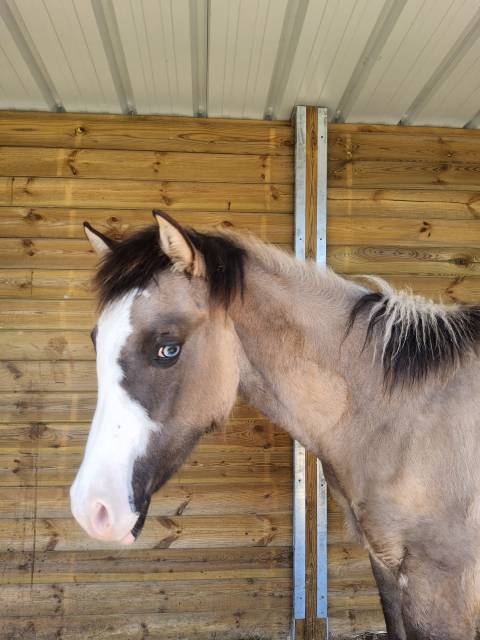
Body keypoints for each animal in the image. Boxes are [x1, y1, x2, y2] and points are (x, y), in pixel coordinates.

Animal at [70, 211, 480, 640]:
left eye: (168, 348)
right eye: (96, 340)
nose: (92, 507)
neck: (401, 416)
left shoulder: (439, 584)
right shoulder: (385, 567)